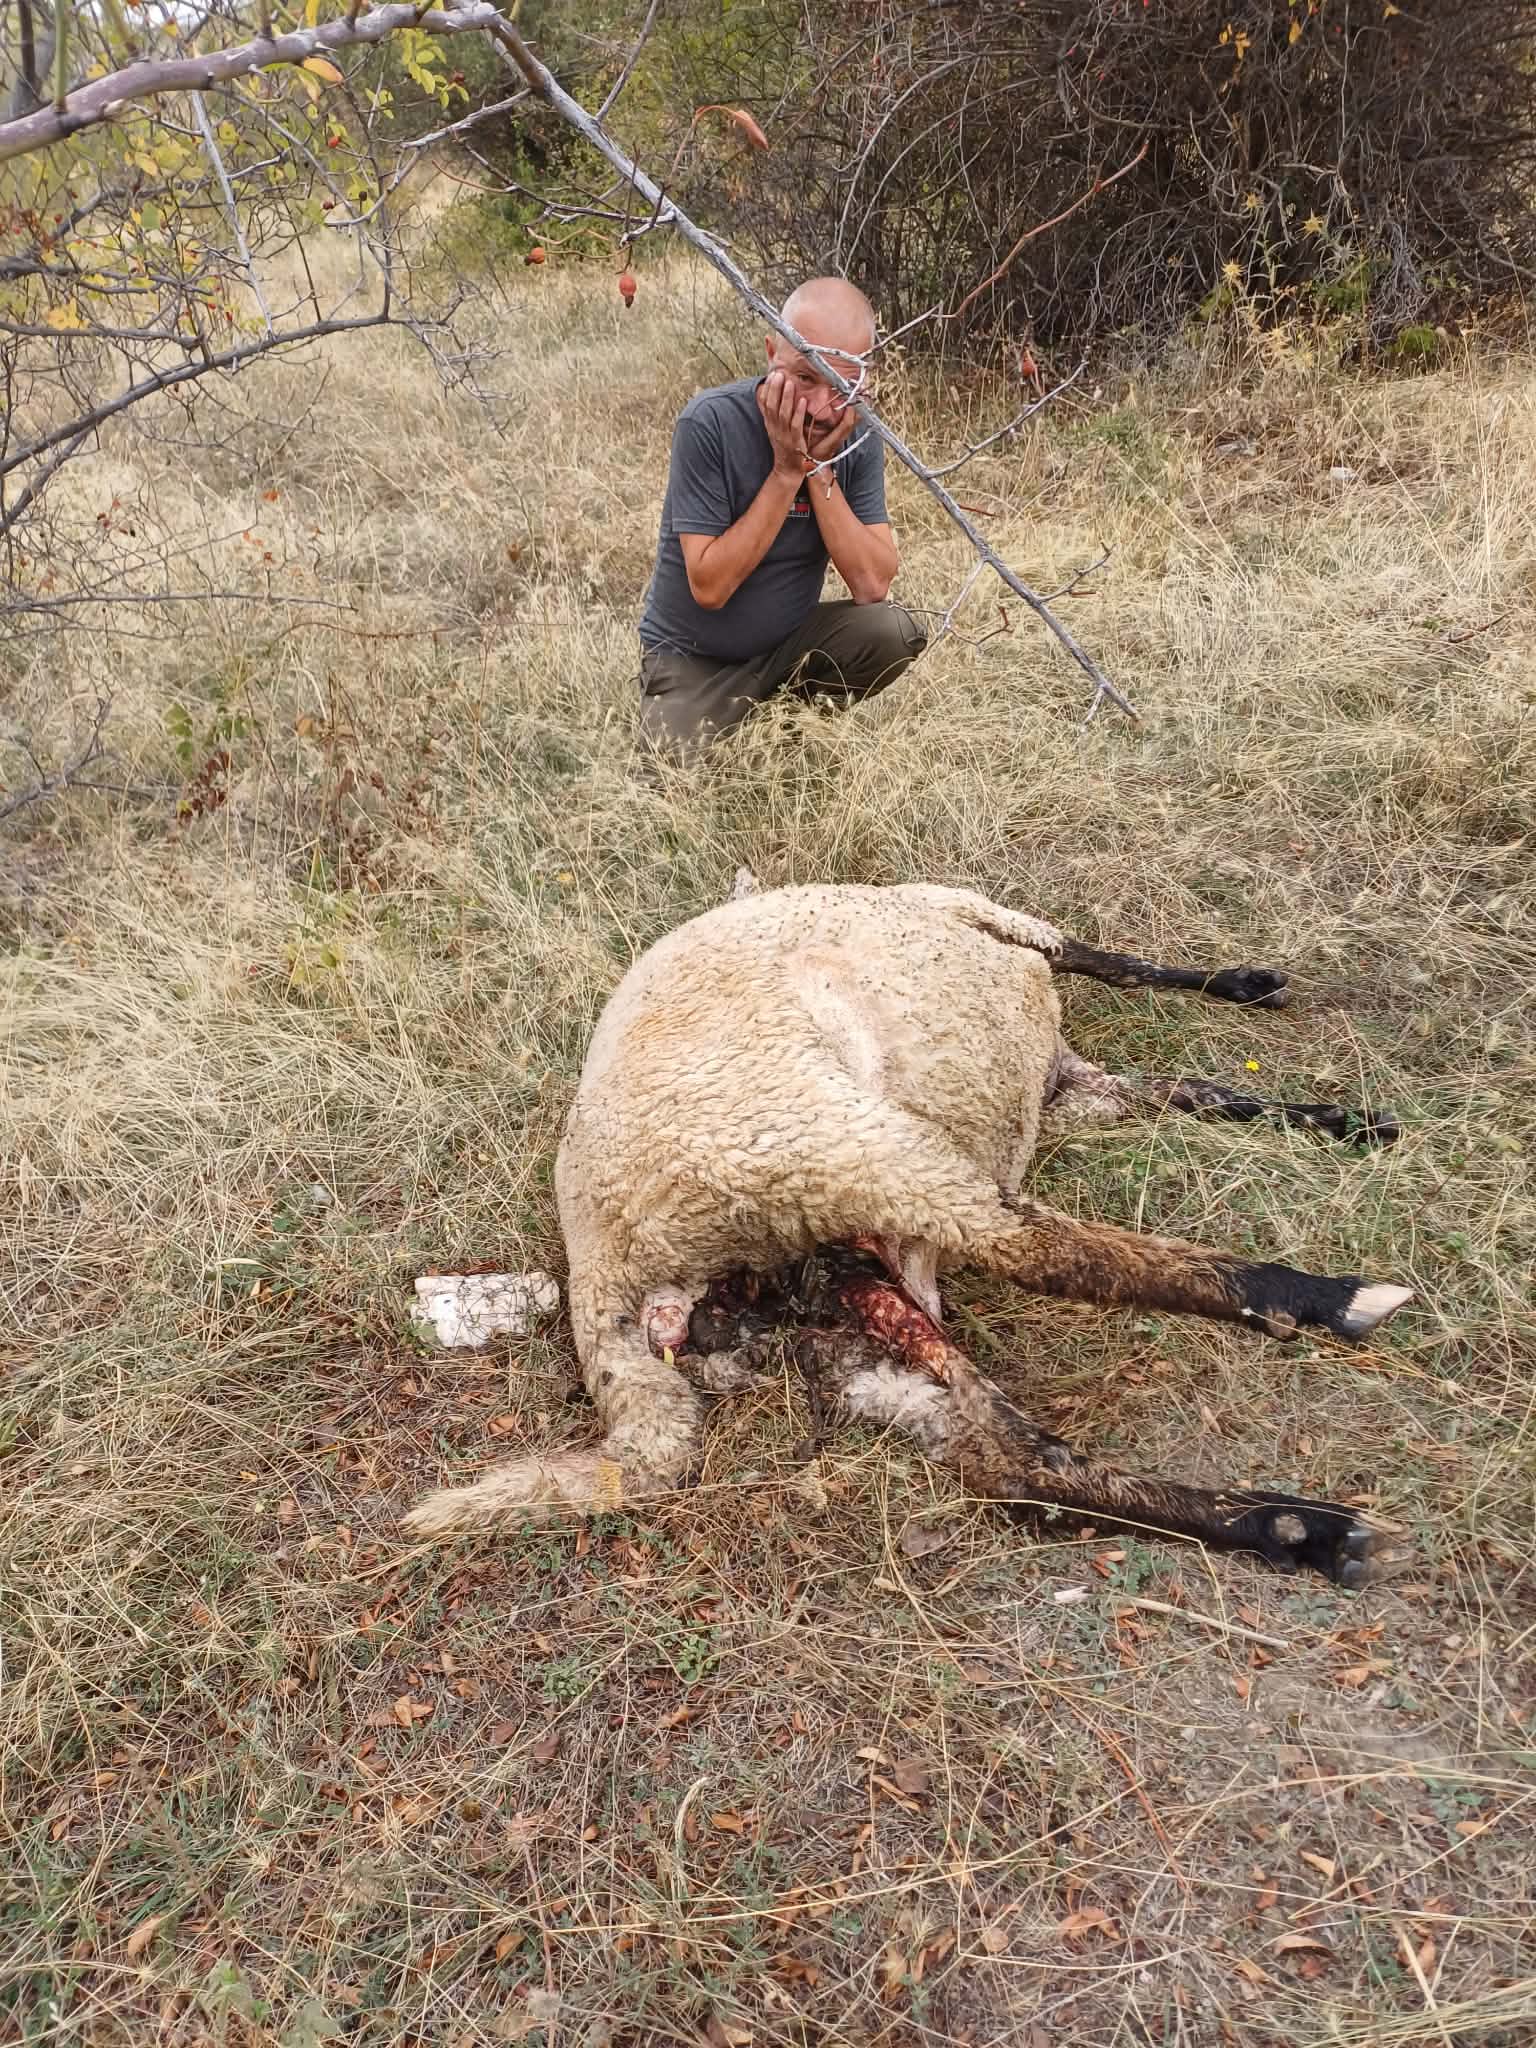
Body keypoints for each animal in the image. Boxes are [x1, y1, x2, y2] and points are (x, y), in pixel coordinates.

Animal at [404, 882, 1410, 1583]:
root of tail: (604, 1269)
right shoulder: (997, 927)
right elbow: (1111, 963)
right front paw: (1250, 991)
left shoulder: (1076, 1083)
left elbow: (1195, 1087)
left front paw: (1341, 1120)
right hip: (836, 1144)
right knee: (1039, 1251)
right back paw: (1327, 1301)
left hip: (832, 1309)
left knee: (1012, 1463)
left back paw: (1302, 1531)